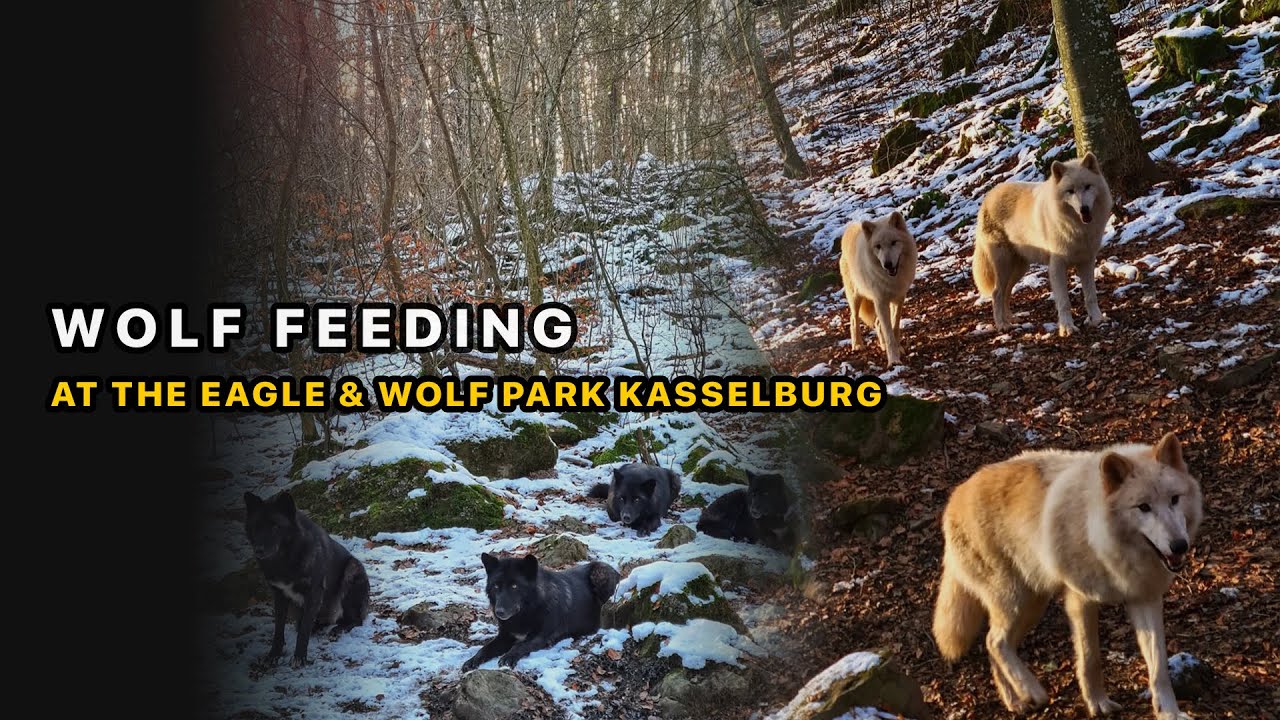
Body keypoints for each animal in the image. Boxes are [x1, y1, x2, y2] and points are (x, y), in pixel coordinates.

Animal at [244, 491, 371, 667]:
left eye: (275, 526)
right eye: (256, 526)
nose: (259, 550)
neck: (285, 561)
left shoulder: (313, 594)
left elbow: (303, 630)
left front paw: (299, 658)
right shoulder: (279, 595)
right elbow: (279, 629)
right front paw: (274, 655)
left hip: (351, 571)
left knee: (356, 620)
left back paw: (338, 629)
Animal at [462, 553, 621, 671]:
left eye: (514, 586)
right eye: (496, 586)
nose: (499, 612)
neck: (526, 613)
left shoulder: (541, 636)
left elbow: (520, 645)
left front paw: (508, 657)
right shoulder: (505, 636)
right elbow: (485, 648)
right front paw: (472, 661)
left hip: (599, 574)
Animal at [839, 210, 918, 365]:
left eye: (894, 242)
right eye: (878, 246)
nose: (887, 264)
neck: (891, 278)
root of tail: (849, 228)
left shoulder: (899, 298)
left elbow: (894, 326)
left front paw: (898, 349)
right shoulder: (880, 301)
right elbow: (888, 332)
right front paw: (893, 360)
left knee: (876, 322)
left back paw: (881, 345)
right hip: (856, 297)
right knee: (853, 319)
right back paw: (857, 345)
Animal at [932, 433, 1202, 720]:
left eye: (1174, 499)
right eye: (1143, 507)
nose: (1179, 545)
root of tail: (954, 498)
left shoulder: (1144, 598)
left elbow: (1159, 666)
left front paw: (1169, 713)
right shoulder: (1080, 600)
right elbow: (1090, 657)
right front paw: (1098, 704)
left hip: (1031, 608)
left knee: (992, 645)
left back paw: (1016, 702)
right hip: (1014, 601)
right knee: (995, 642)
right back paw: (1032, 692)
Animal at [973, 152, 1113, 337]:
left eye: (1088, 187)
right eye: (1070, 191)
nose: (1084, 209)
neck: (1077, 228)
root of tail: (987, 197)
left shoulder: (1087, 262)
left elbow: (1091, 296)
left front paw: (1097, 320)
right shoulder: (1057, 266)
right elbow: (1064, 302)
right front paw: (1067, 328)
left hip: (1019, 268)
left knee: (1006, 292)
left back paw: (1011, 318)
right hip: (1004, 264)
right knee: (996, 293)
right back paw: (1002, 325)